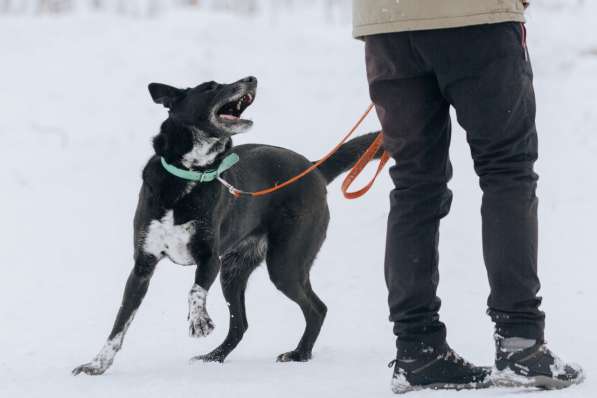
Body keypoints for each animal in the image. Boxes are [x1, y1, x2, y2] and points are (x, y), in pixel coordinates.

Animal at [72, 75, 380, 376]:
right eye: (210, 87)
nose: (251, 78)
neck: (189, 175)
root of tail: (314, 168)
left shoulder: (209, 258)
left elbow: (195, 290)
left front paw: (199, 320)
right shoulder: (142, 266)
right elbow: (120, 323)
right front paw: (97, 364)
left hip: (285, 264)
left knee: (317, 309)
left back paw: (299, 354)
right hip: (234, 271)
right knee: (240, 324)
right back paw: (213, 357)